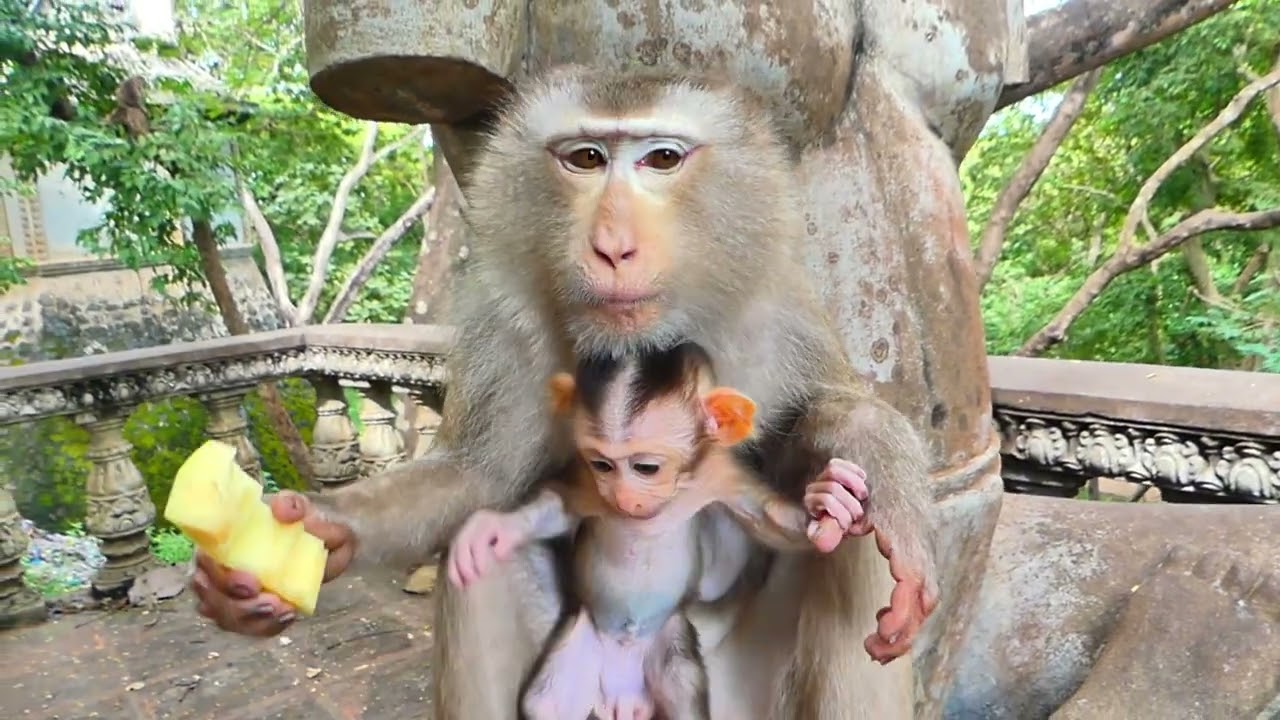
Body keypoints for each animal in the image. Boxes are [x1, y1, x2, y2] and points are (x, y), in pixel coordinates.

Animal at [446, 342, 868, 720]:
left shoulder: (720, 473)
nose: (623, 497)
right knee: (545, 704)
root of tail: (620, 692)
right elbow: (560, 505)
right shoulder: (586, 478)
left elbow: (766, 517)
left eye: (646, 467)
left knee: (683, 692)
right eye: (603, 465)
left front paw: (829, 506)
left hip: (667, 638)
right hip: (581, 640)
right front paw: (496, 529)